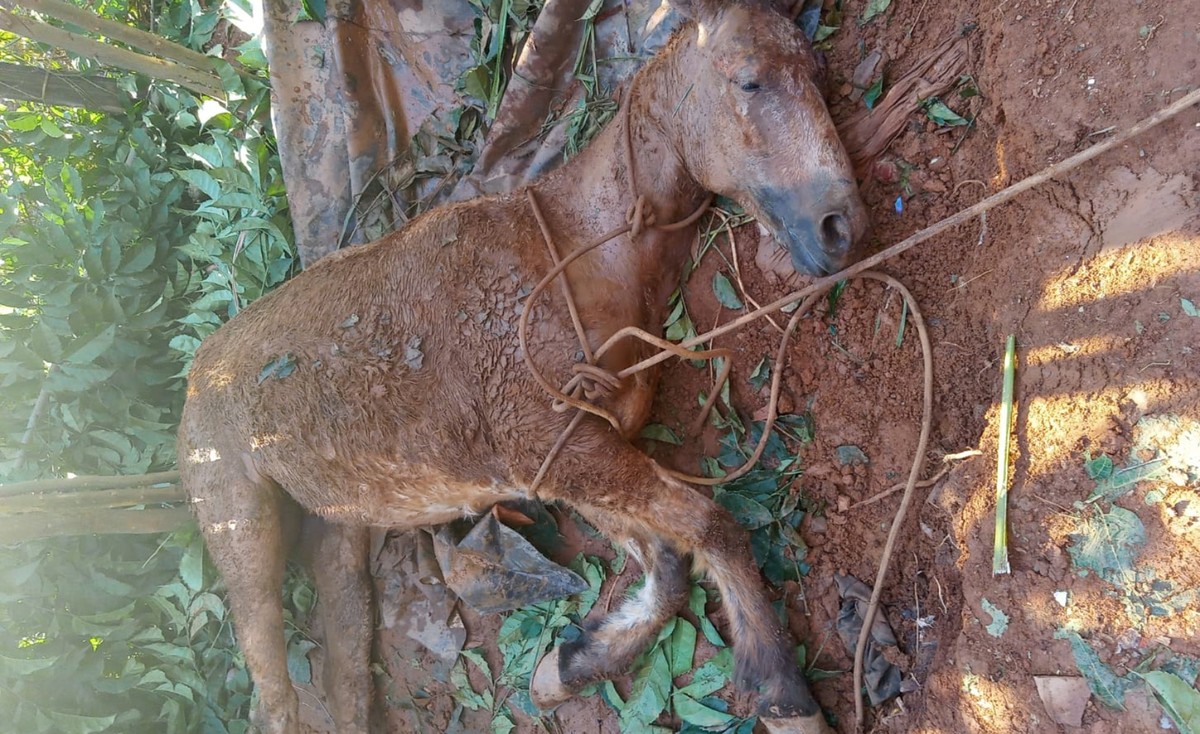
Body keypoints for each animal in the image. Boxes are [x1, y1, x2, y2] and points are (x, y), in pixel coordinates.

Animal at [177, 0, 868, 729]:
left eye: (817, 72)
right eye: (749, 80)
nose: (842, 227)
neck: (572, 254)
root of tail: (197, 374)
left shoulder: (571, 460)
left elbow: (668, 564)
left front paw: (568, 669)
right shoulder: (560, 450)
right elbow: (714, 529)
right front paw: (785, 694)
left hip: (336, 537)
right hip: (240, 526)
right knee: (272, 693)